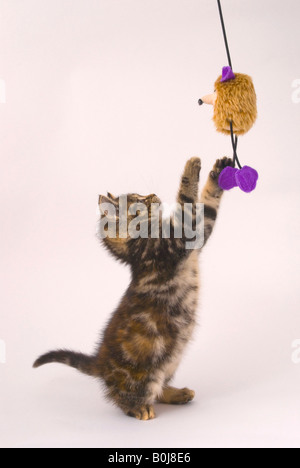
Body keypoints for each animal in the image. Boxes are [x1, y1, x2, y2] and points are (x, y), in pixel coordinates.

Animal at [34, 157, 232, 420]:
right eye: (139, 200)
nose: (154, 195)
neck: (137, 247)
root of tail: (100, 362)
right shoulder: (174, 243)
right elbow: (187, 204)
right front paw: (191, 167)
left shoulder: (196, 236)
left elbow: (207, 208)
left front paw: (218, 171)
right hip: (144, 374)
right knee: (126, 395)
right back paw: (138, 408)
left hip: (170, 363)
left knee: (160, 388)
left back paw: (177, 393)